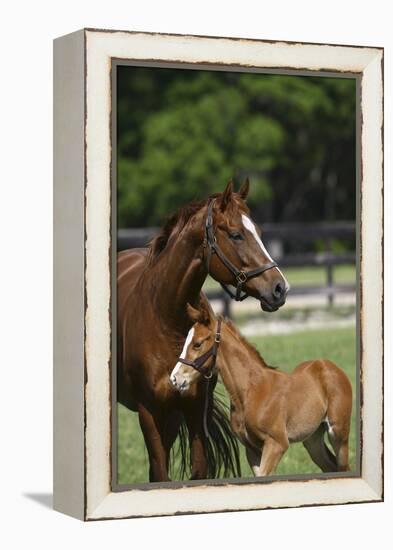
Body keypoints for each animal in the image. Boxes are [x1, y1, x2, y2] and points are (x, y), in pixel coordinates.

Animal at [170, 306, 350, 478]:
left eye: (198, 344)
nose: (175, 378)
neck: (250, 391)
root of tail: (328, 365)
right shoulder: (252, 449)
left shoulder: (277, 443)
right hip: (313, 439)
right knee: (330, 467)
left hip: (338, 433)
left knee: (343, 467)